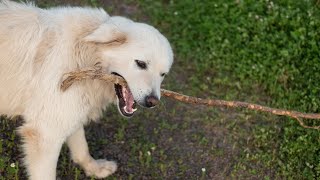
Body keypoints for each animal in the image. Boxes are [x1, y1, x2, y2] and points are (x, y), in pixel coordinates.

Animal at [0, 0, 174, 179]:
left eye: (163, 74)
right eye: (141, 64)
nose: (152, 101)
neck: (84, 52)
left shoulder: (69, 113)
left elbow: (81, 147)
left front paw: (94, 168)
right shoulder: (46, 134)